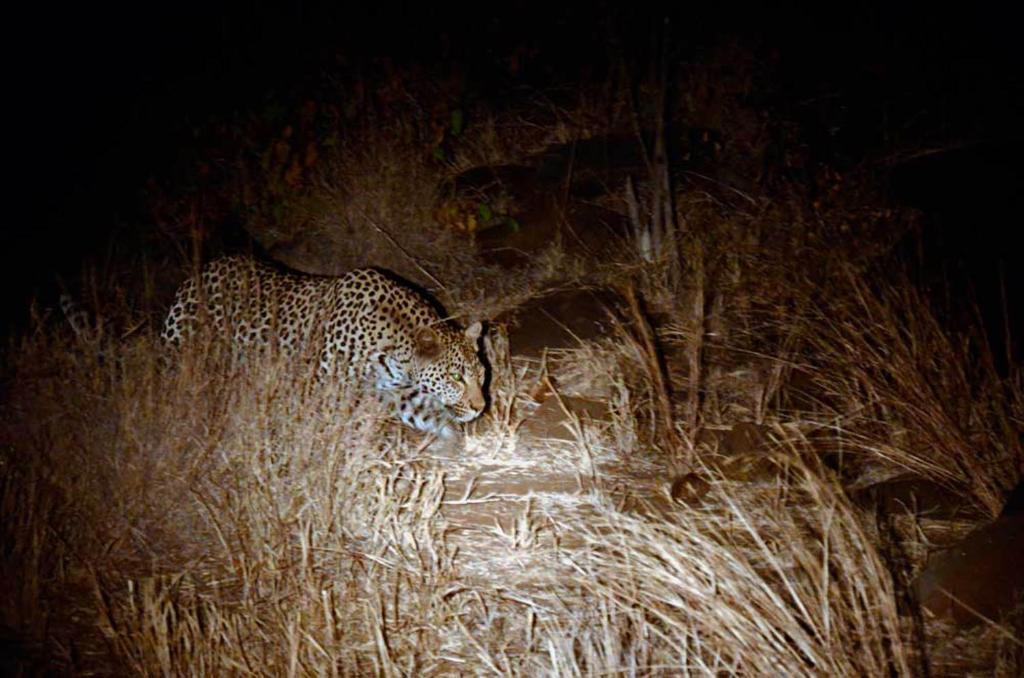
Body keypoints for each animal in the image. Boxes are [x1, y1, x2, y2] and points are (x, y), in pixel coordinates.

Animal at [162, 256, 487, 440]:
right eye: (456, 377)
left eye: (481, 375)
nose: (480, 408)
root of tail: (199, 272)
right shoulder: (325, 389)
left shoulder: (398, 391)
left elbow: (428, 410)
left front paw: (454, 439)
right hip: (180, 347)